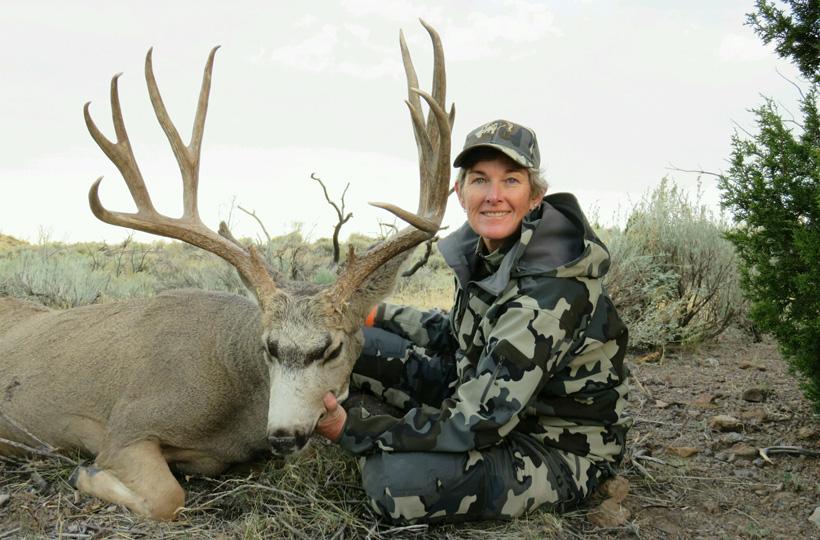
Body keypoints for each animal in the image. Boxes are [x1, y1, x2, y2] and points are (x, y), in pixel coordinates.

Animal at [0, 20, 452, 521]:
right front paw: (83, 474)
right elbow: (167, 497)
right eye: (267, 346)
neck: (234, 410)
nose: (283, 435)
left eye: (331, 349)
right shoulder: (126, 426)